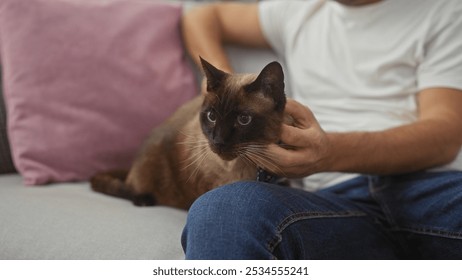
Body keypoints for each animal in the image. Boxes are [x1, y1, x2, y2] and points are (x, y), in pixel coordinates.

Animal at [91, 57, 288, 210]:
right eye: (211, 116)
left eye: (244, 119)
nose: (218, 141)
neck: (257, 169)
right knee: (131, 187)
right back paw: (143, 199)